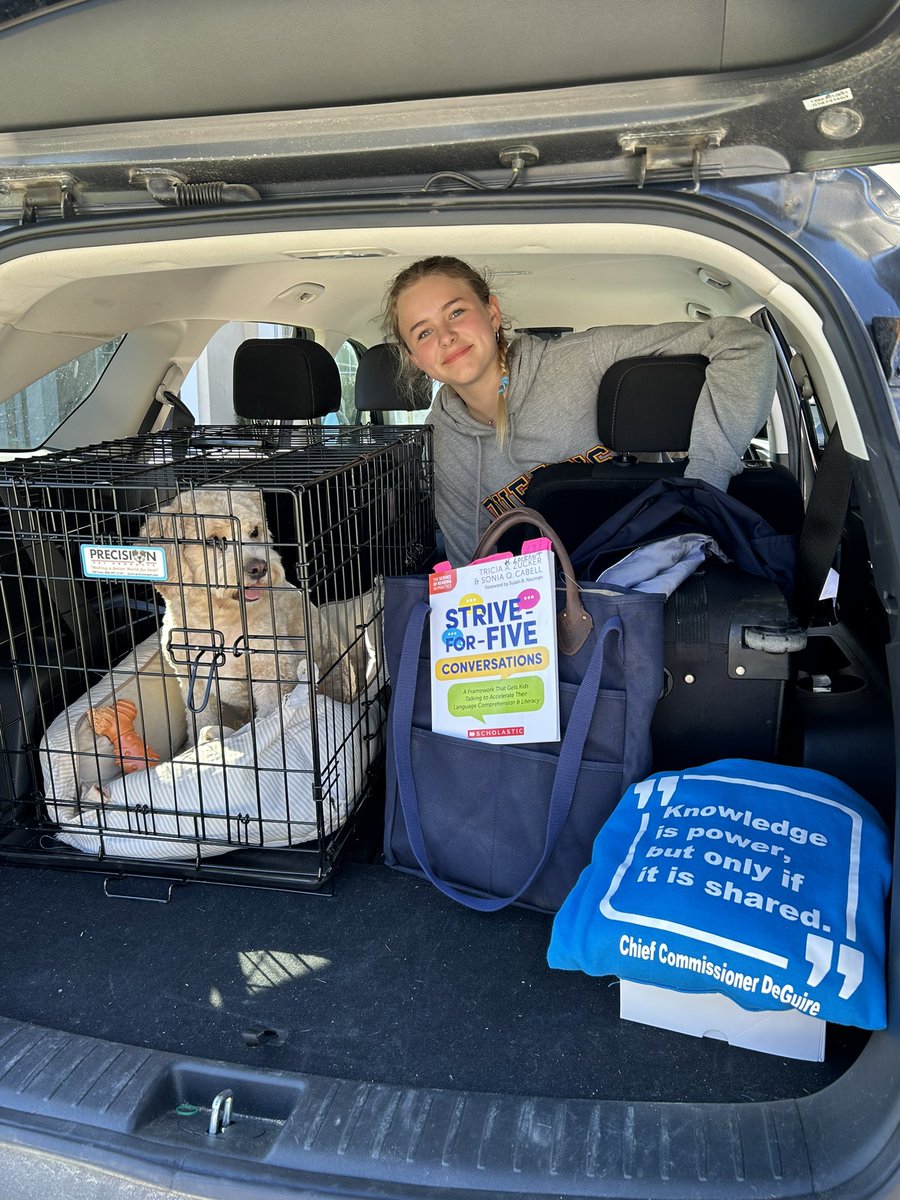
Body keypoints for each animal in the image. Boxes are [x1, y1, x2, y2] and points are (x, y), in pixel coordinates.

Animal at [139, 489, 357, 739]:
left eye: (254, 531)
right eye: (213, 540)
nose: (259, 568)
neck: (219, 619)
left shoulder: (272, 673)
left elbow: (269, 717)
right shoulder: (194, 683)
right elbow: (201, 721)